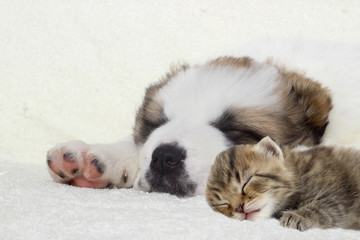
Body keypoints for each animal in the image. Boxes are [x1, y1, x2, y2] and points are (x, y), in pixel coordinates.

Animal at [205, 138, 360, 232]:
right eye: (222, 203)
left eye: (247, 181)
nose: (239, 208)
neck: (300, 170)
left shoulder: (338, 195)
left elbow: (323, 206)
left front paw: (298, 216)